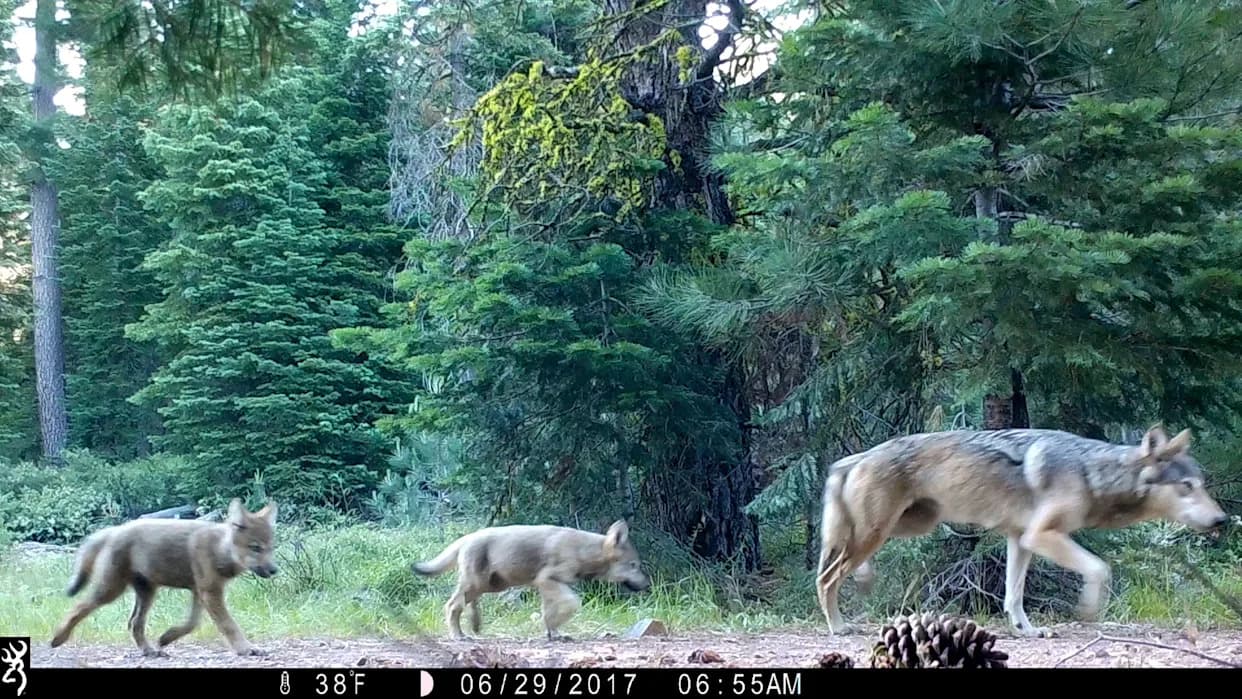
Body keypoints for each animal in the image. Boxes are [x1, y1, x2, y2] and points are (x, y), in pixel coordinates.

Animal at [50, 498, 279, 657]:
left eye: (271, 548)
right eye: (256, 548)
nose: (274, 570)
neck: (219, 549)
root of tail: (115, 529)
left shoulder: (199, 592)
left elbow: (191, 623)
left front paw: (167, 637)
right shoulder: (210, 592)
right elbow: (229, 625)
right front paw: (247, 649)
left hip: (147, 593)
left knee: (134, 623)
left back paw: (150, 651)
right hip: (111, 590)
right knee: (79, 607)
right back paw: (58, 638)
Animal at [411, 519, 651, 641]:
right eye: (634, 566)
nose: (648, 585)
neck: (583, 551)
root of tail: (466, 537)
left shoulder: (547, 586)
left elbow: (548, 613)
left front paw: (554, 633)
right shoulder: (547, 580)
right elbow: (572, 603)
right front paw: (554, 630)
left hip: (489, 586)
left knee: (465, 605)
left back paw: (473, 628)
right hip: (478, 584)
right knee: (452, 605)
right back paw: (458, 636)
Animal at [815, 425, 1229, 638]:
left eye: (1202, 485)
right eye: (1187, 486)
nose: (1223, 520)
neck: (1092, 474)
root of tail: (853, 458)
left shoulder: (1020, 539)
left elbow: (1013, 596)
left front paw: (1025, 630)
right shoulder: (1041, 536)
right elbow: (1100, 568)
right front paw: (1088, 610)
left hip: (909, 526)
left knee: (843, 564)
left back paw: (863, 580)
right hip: (879, 532)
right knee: (827, 577)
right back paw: (838, 626)